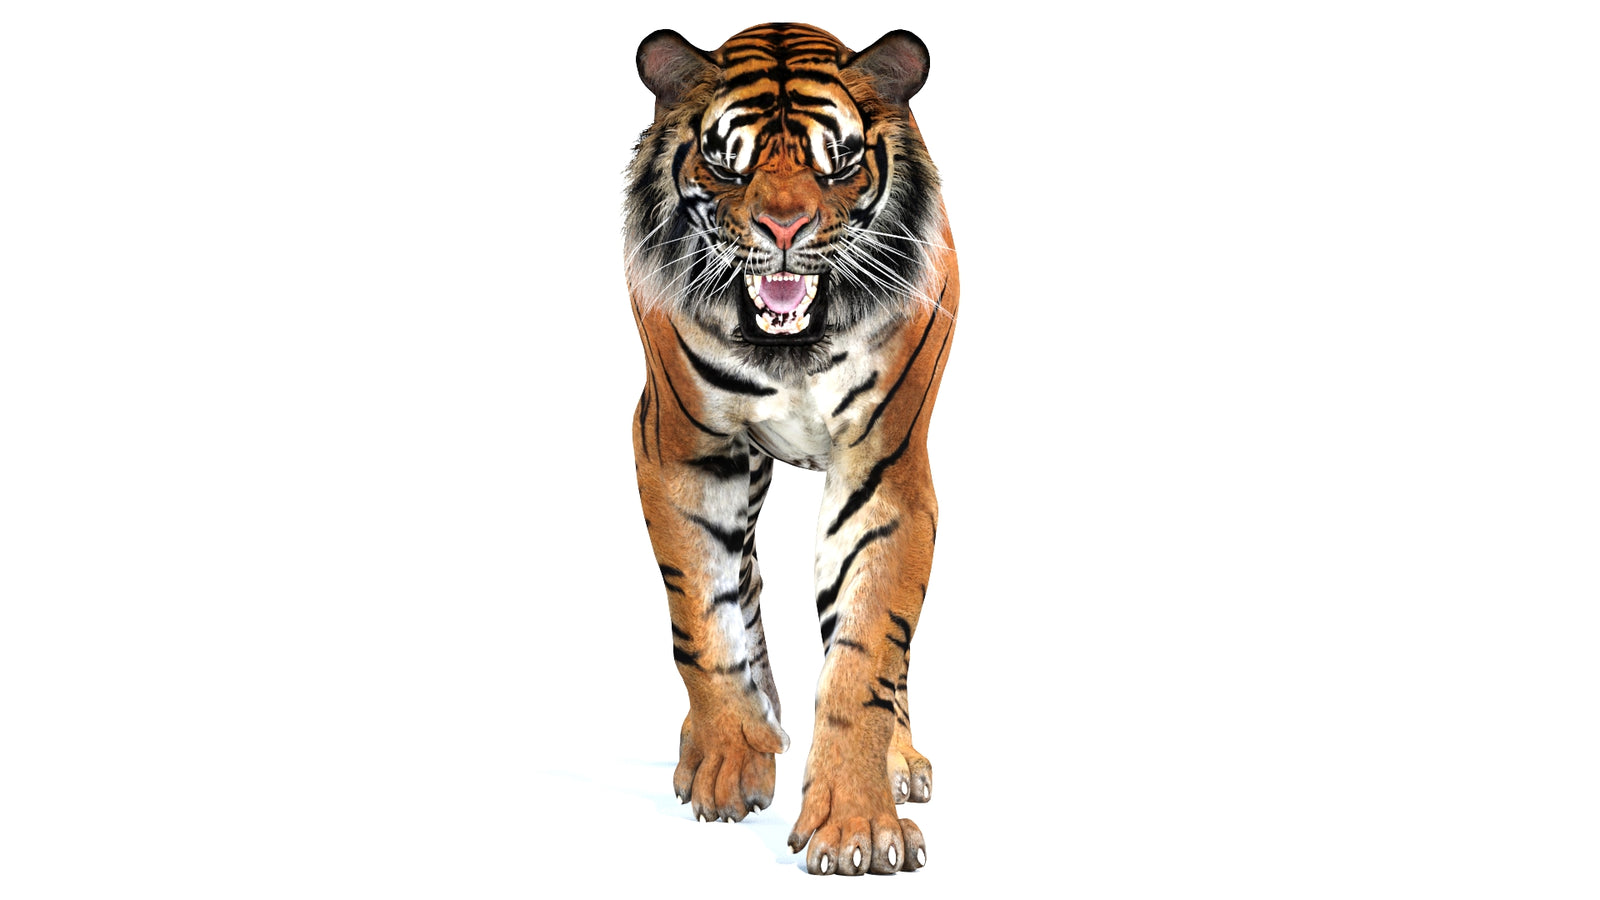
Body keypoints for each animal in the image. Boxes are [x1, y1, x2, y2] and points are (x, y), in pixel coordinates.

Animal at [624, 23, 958, 876]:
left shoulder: (883, 469)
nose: (782, 230)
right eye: (727, 164)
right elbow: (705, 620)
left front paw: (858, 826)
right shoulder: (682, 450)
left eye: (835, 163)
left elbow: (867, 653)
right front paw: (729, 759)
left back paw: (900, 760)